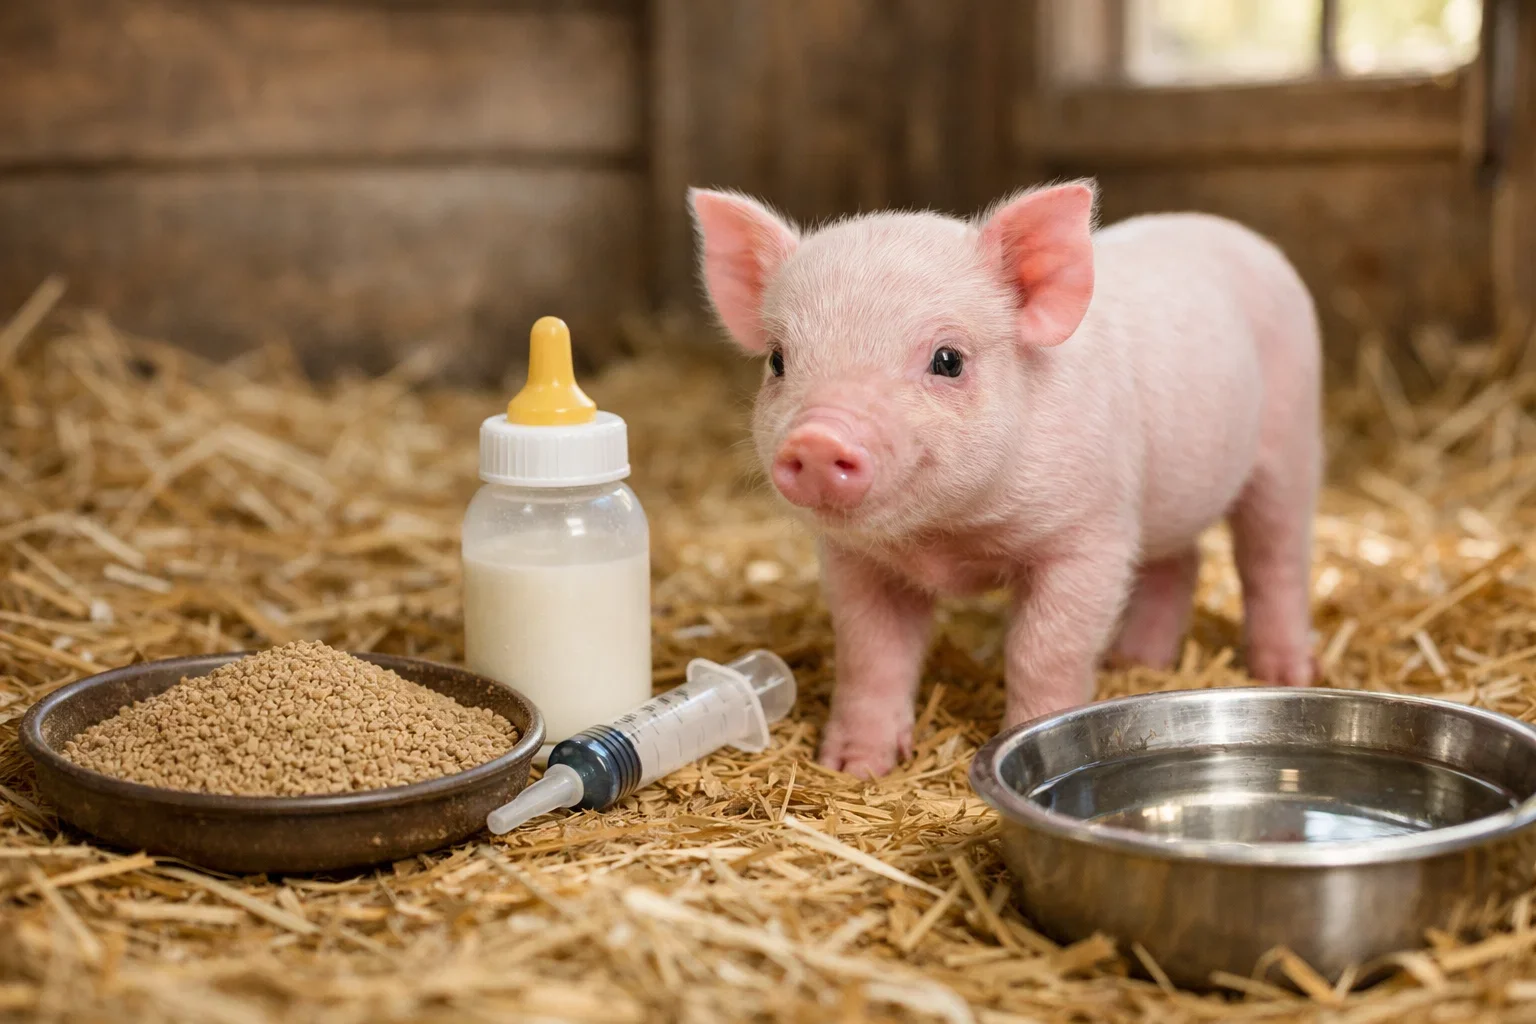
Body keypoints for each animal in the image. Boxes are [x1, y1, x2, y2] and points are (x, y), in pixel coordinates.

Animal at [689, 180, 1321, 778]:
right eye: (778, 360)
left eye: (948, 360)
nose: (819, 439)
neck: (947, 539)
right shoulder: (856, 561)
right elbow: (872, 653)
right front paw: (853, 767)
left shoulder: (1092, 535)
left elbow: (1043, 650)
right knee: (1180, 561)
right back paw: (1134, 662)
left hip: (1290, 441)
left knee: (1273, 559)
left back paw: (1285, 670)